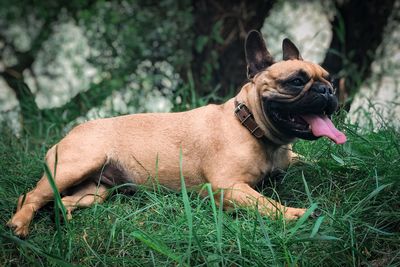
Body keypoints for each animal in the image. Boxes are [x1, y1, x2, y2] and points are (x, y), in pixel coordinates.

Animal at [7, 30, 346, 238]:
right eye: (296, 81)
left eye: (329, 79)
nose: (327, 91)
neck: (250, 125)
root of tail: (68, 134)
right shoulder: (228, 187)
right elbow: (266, 203)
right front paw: (296, 214)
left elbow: (311, 163)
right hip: (74, 166)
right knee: (32, 196)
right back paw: (19, 224)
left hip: (97, 190)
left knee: (61, 200)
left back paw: (62, 217)